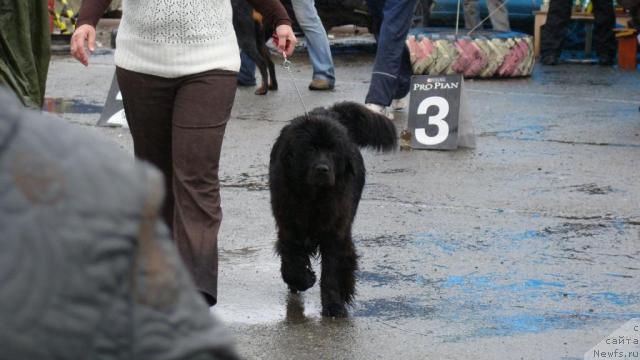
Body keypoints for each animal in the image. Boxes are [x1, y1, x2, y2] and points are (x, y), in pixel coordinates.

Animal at [268, 100, 398, 316]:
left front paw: (334, 306)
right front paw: (305, 279)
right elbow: (291, 263)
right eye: (310, 148)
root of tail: (329, 112)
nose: (323, 169)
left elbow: (332, 270)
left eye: (333, 150)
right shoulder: (288, 224)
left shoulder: (335, 229)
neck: (313, 197)